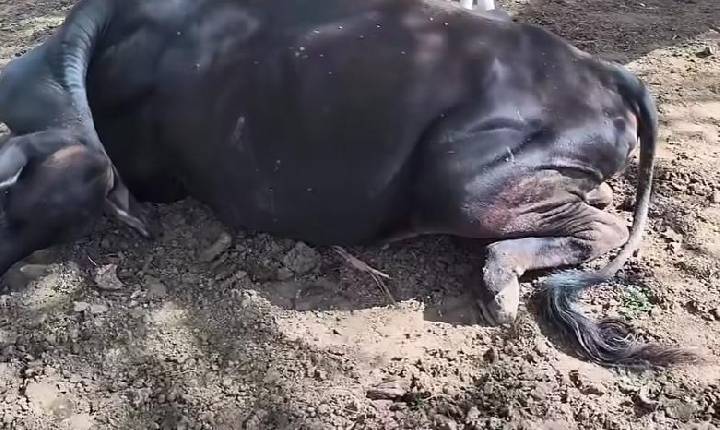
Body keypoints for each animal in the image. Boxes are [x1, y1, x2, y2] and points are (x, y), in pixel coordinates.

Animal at [0, 0, 697, 368]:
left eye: (18, 198)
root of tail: (610, 73)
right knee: (599, 208)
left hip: (467, 181)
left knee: (600, 224)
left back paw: (498, 288)